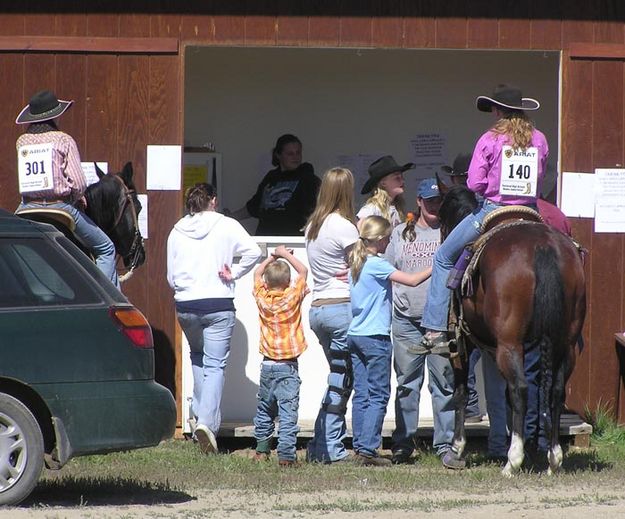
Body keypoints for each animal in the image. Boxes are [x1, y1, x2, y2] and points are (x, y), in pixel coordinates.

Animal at [438, 185, 584, 478]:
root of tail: (542, 245)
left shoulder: (462, 344)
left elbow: (461, 392)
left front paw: (456, 448)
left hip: (509, 343)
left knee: (520, 388)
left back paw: (512, 461)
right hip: (567, 342)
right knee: (555, 390)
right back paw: (553, 458)